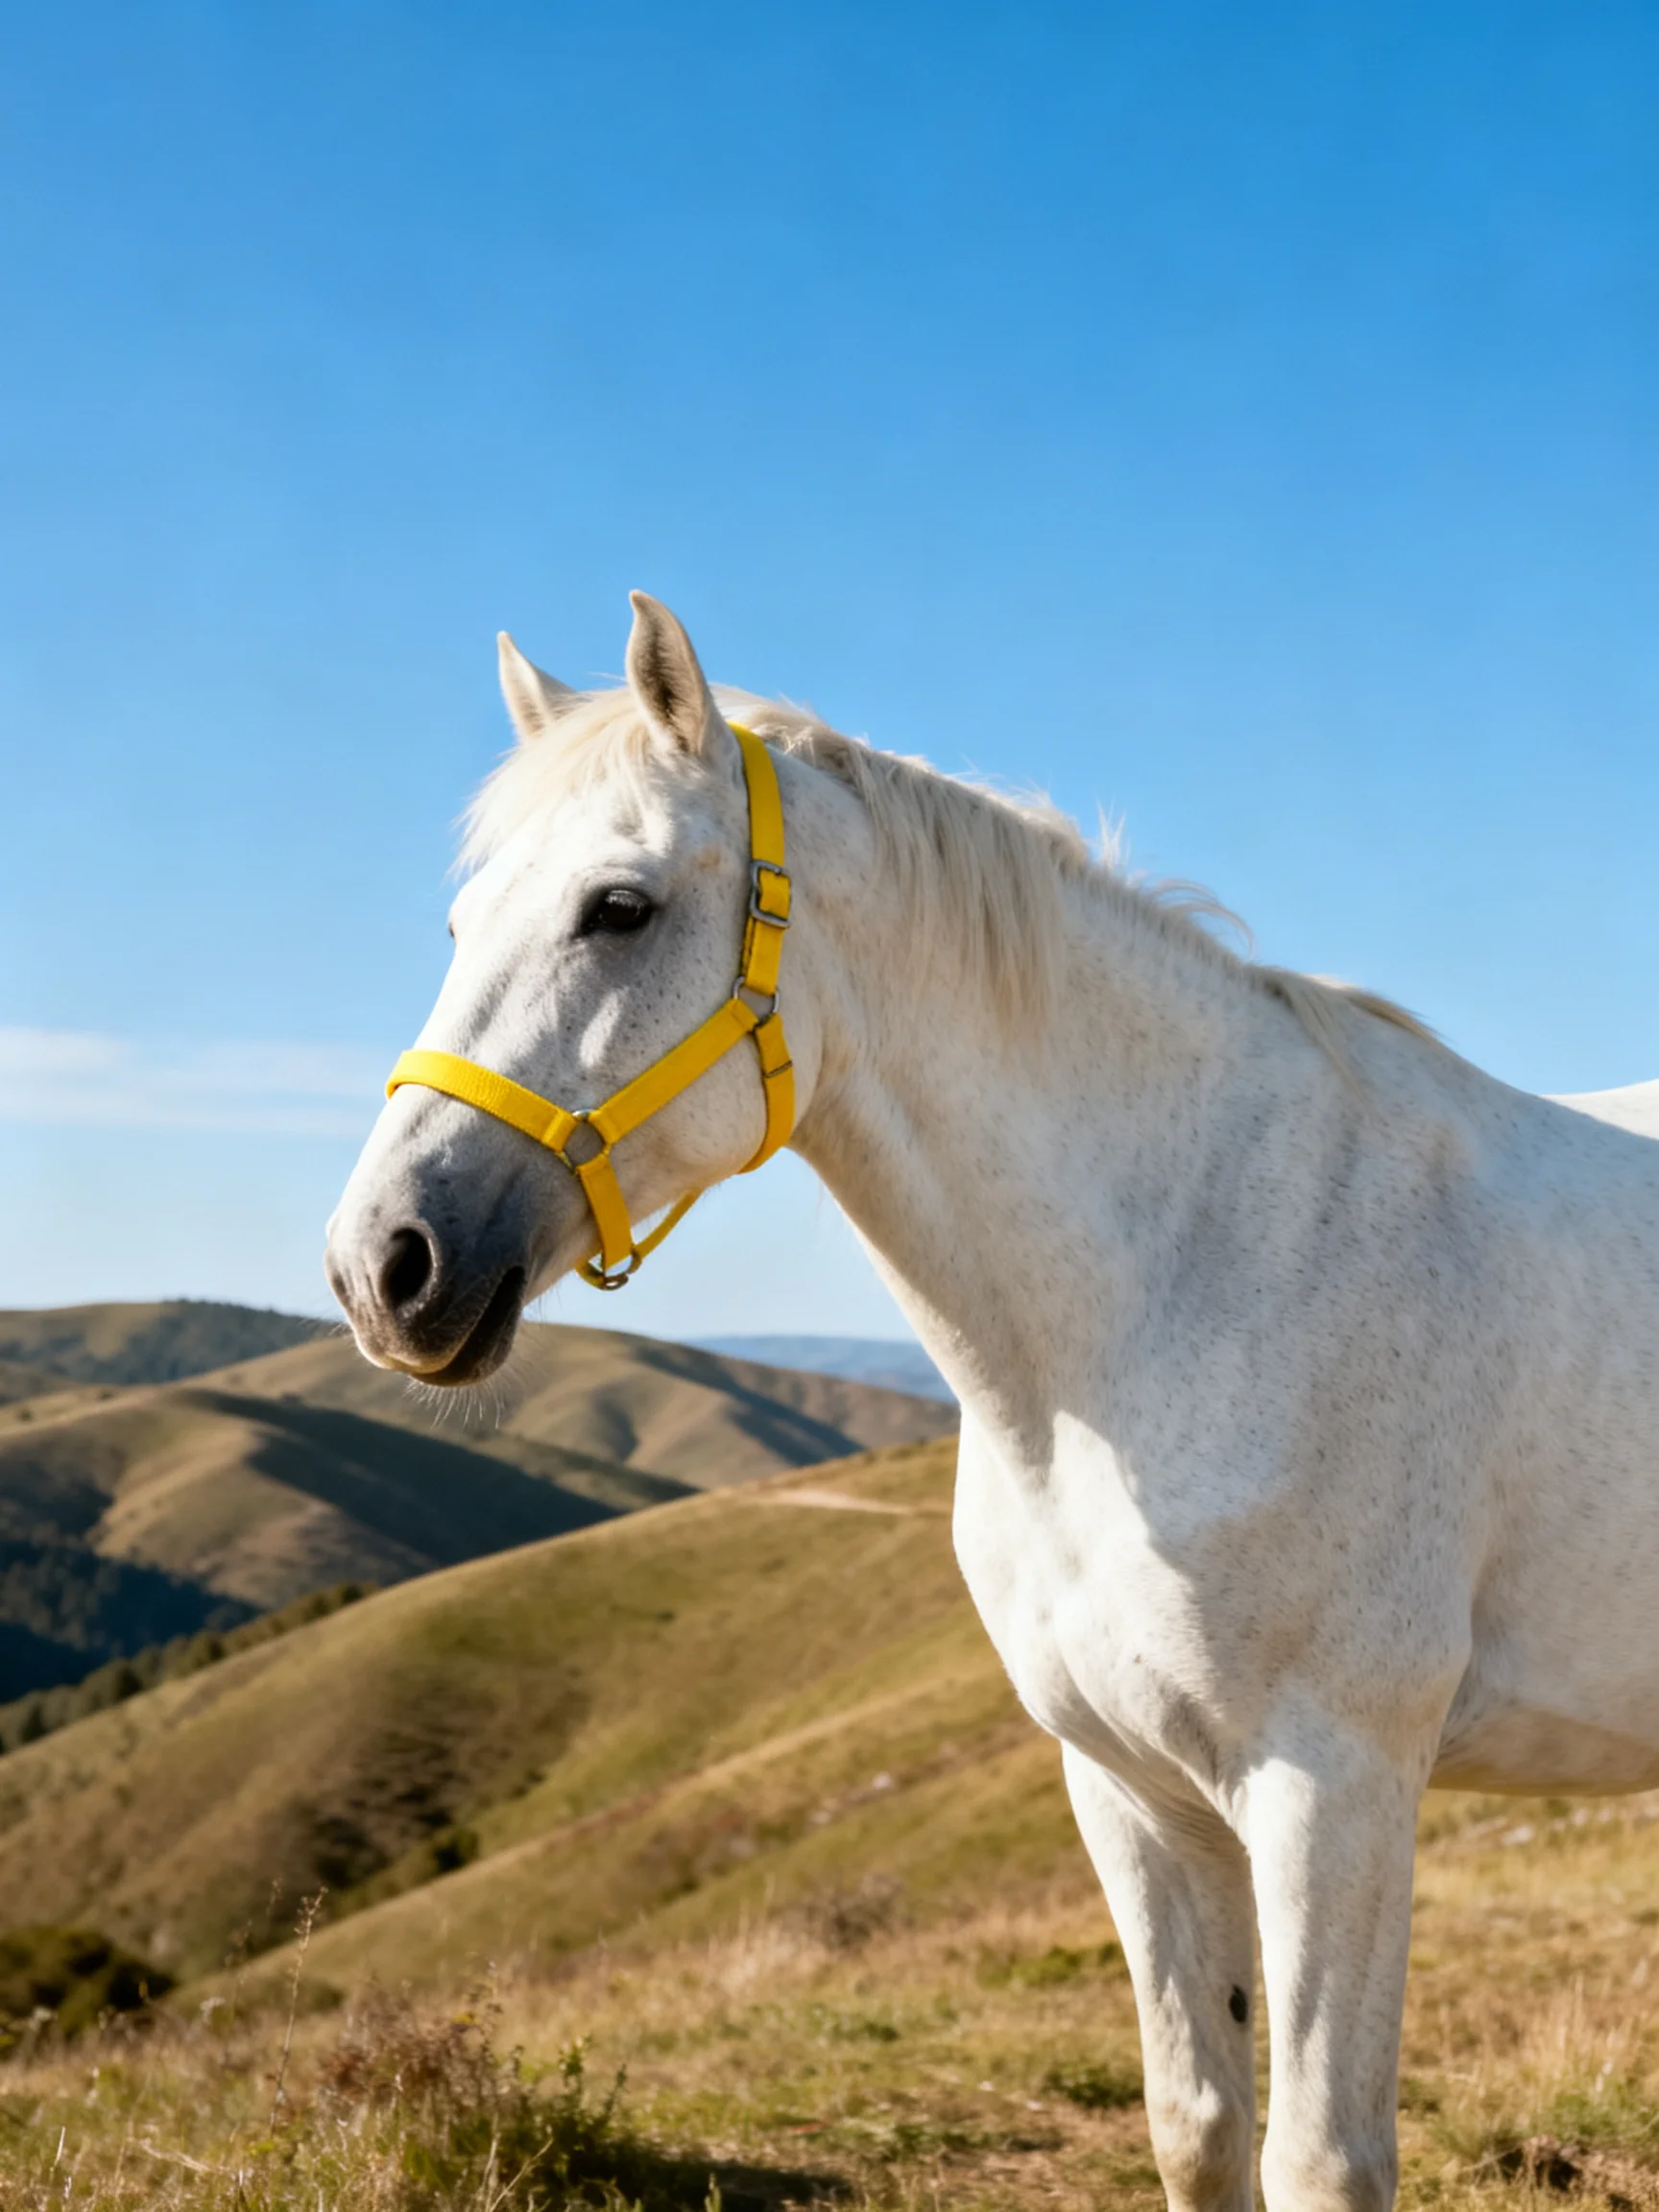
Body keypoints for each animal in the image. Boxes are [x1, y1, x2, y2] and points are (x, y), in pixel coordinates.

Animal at [327, 592, 1659, 2212]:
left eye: (618, 909)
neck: (1195, 1273)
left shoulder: (1334, 1789)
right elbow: (1197, 2121)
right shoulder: (1131, 1789)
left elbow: (1320, 2156)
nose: (385, 1264)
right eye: (463, 925)